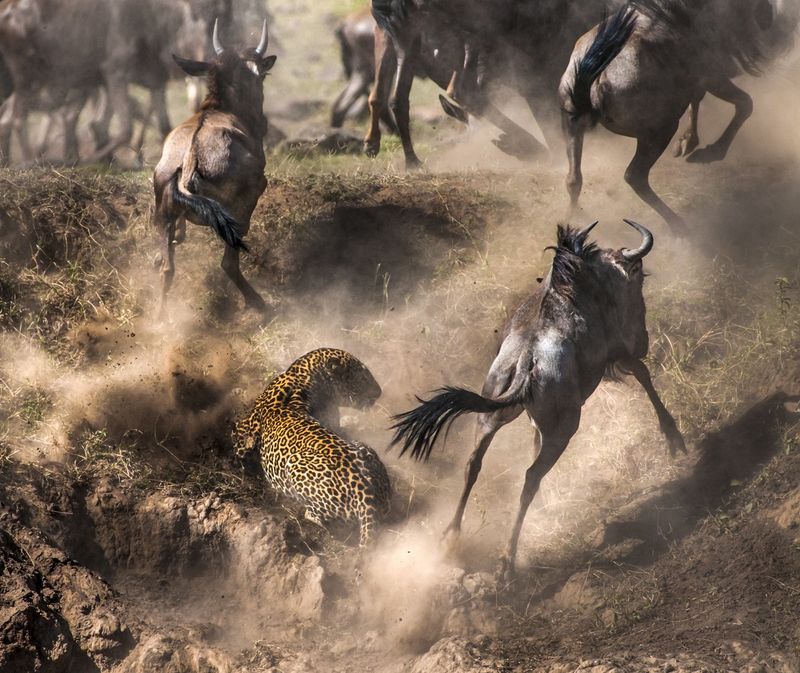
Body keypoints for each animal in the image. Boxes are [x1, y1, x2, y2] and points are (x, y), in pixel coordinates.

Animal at [233, 348, 391, 546]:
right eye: (362, 375)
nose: (379, 392)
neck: (300, 374)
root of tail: (366, 496)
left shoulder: (246, 430)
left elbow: (239, 446)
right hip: (364, 449)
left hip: (294, 465)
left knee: (325, 521)